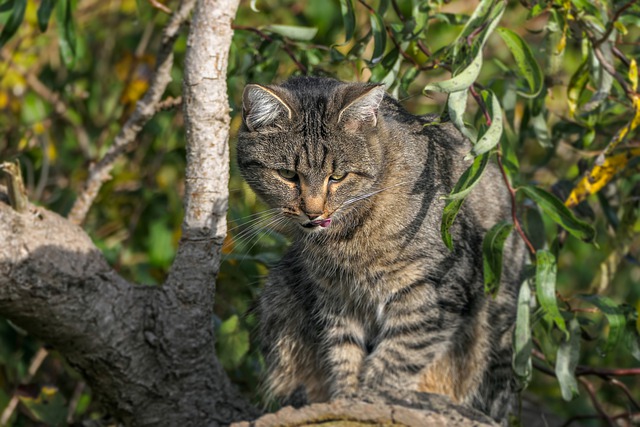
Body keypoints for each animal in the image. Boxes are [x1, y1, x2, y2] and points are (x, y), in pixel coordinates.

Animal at [238, 77, 528, 422]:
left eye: (338, 176)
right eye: (287, 175)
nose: (314, 212)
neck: (346, 238)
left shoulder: (437, 287)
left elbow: (399, 353)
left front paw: (371, 396)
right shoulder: (335, 294)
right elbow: (344, 351)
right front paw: (346, 396)